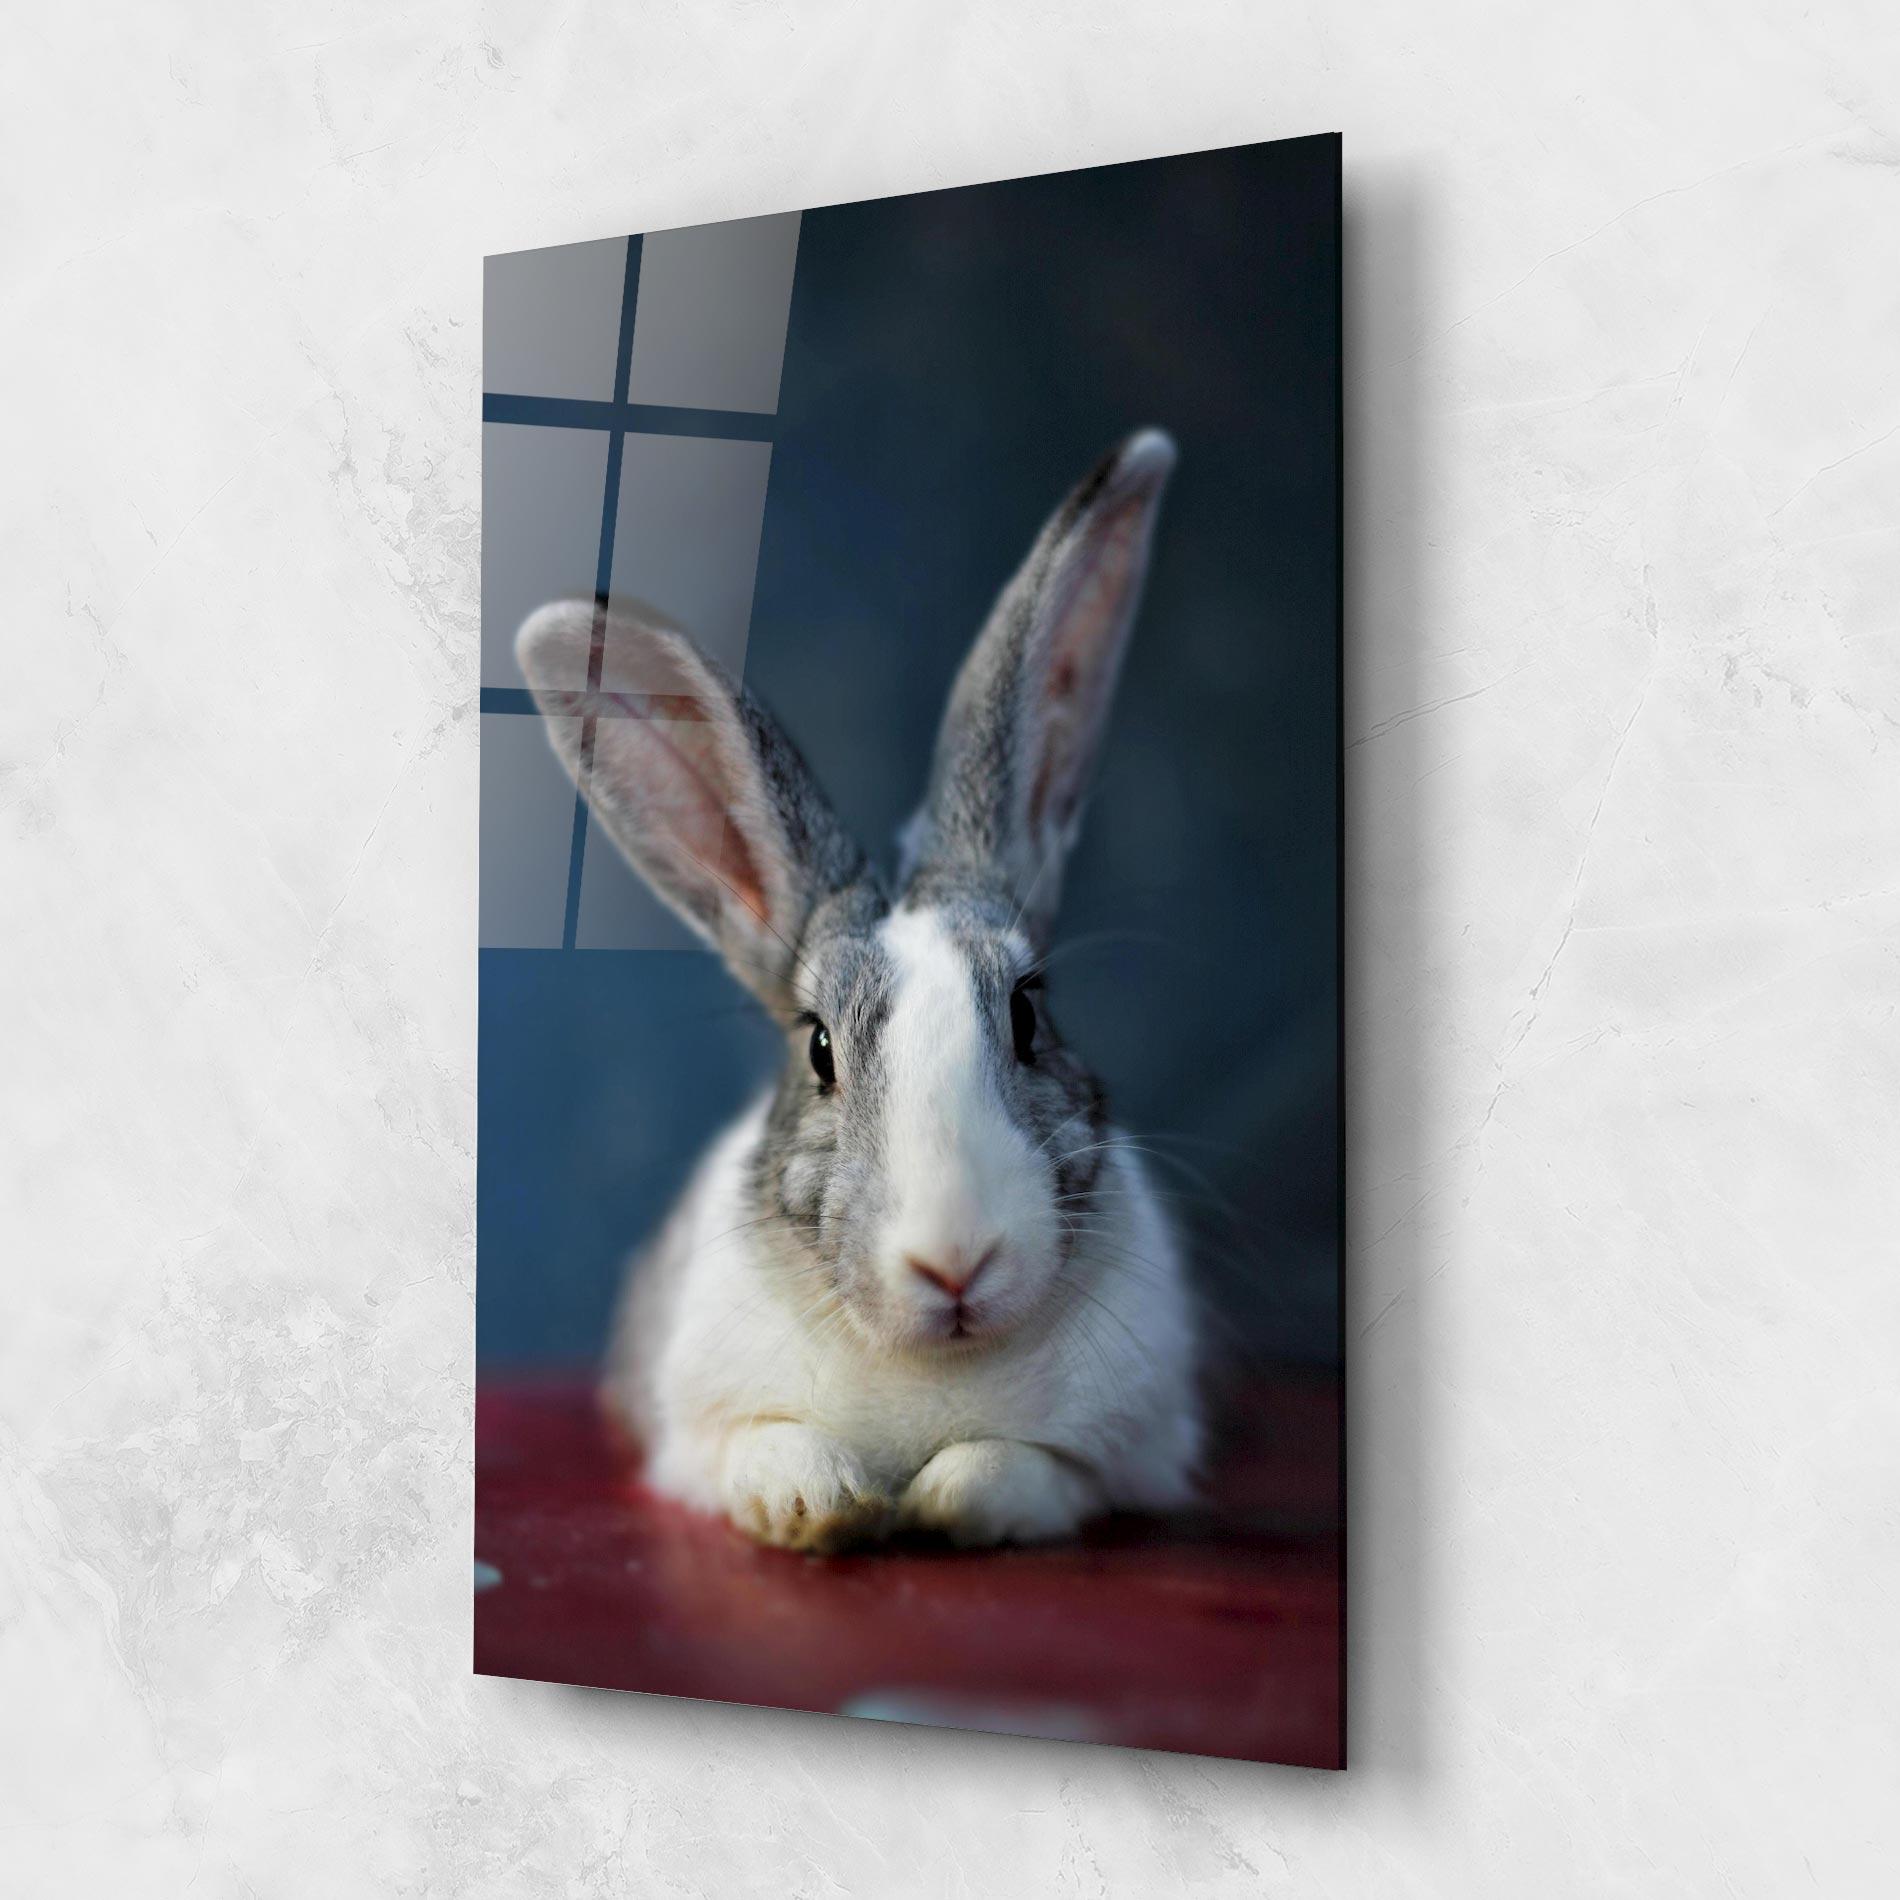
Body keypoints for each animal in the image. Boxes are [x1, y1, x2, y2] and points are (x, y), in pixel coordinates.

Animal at [514, 428, 1201, 1551]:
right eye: (819, 1048)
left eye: (1028, 1012)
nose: (955, 1260)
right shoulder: (694, 1436)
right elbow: (767, 1449)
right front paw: (822, 1507)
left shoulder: (1121, 1460)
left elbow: (1016, 1471)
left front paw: (938, 1498)